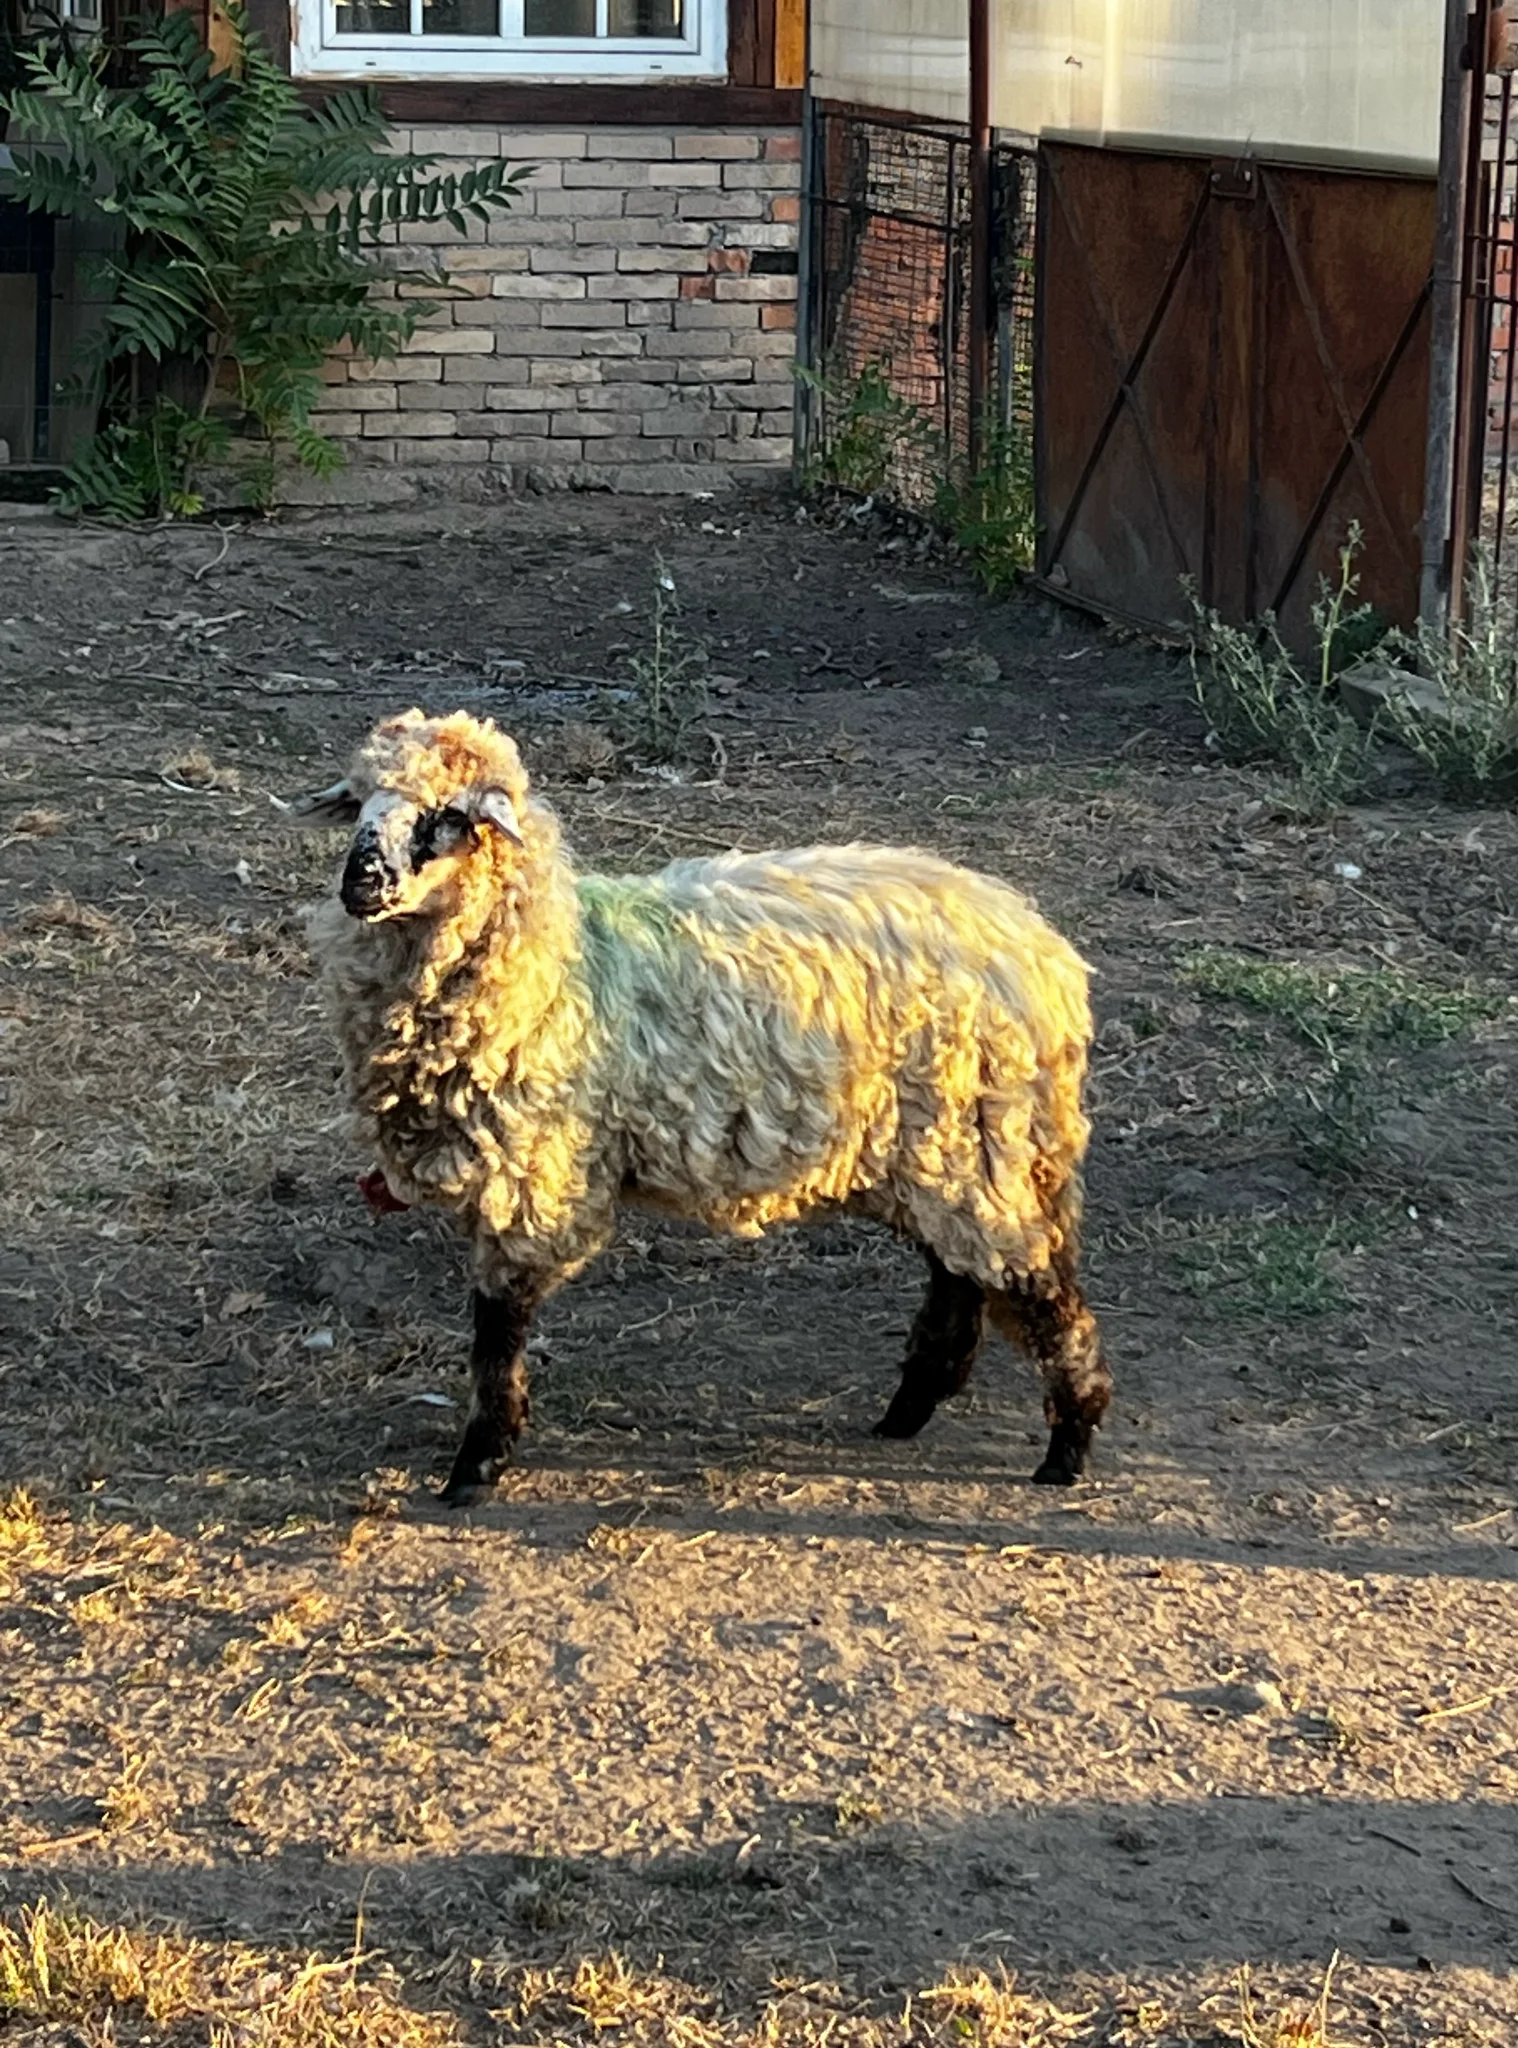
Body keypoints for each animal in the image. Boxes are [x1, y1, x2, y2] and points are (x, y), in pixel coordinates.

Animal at [295, 708, 1112, 1503]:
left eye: (449, 816)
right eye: (358, 805)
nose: (361, 881)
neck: (557, 964)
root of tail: (1040, 949)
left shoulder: (535, 1175)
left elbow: (497, 1330)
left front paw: (476, 1465)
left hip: (982, 1140)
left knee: (1034, 1286)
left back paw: (1066, 1448)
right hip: (946, 1149)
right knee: (961, 1275)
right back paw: (909, 1411)